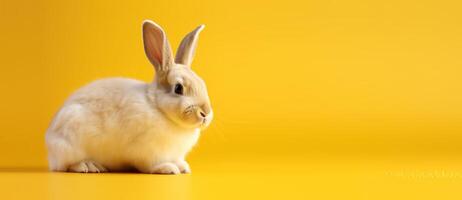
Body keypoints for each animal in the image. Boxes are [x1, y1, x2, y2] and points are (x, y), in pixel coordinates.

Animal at [44, 19, 214, 174]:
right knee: (66, 165)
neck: (157, 107)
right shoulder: (147, 151)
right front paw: (167, 168)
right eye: (178, 88)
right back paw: (88, 166)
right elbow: (149, 165)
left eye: (202, 83)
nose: (205, 113)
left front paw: (183, 167)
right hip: (68, 143)